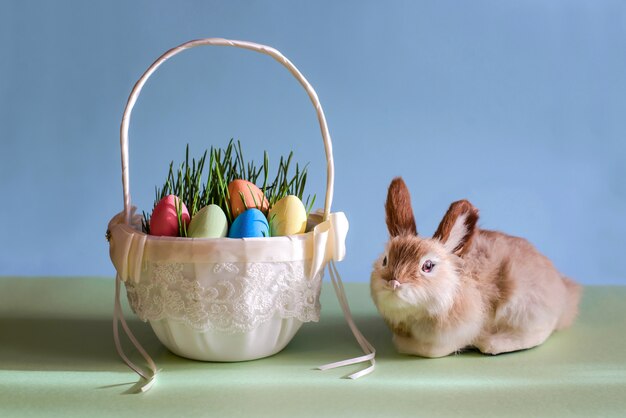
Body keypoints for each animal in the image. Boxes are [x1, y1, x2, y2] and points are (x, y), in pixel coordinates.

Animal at [368, 176, 576, 356]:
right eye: (385, 260)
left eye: (427, 266)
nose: (393, 282)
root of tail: (564, 293)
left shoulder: (452, 337)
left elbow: (430, 350)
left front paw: (405, 345)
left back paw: (491, 343)